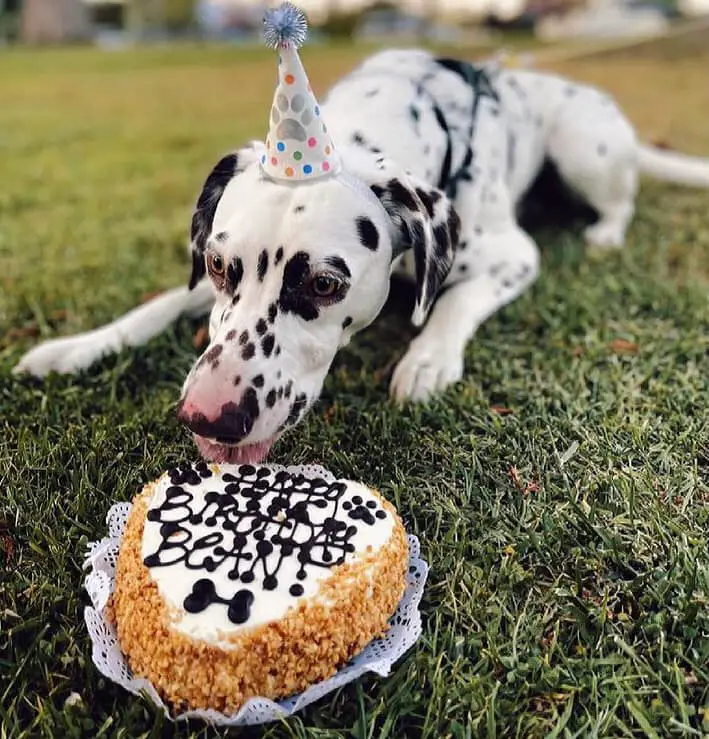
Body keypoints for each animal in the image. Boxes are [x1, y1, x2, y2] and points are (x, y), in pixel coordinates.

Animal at [12, 49, 708, 462]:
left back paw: (606, 234)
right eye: (214, 265)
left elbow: (454, 301)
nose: (205, 416)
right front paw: (74, 349)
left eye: (324, 285)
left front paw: (427, 358)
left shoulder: (513, 255)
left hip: (585, 147)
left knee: (619, 202)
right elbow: (152, 308)